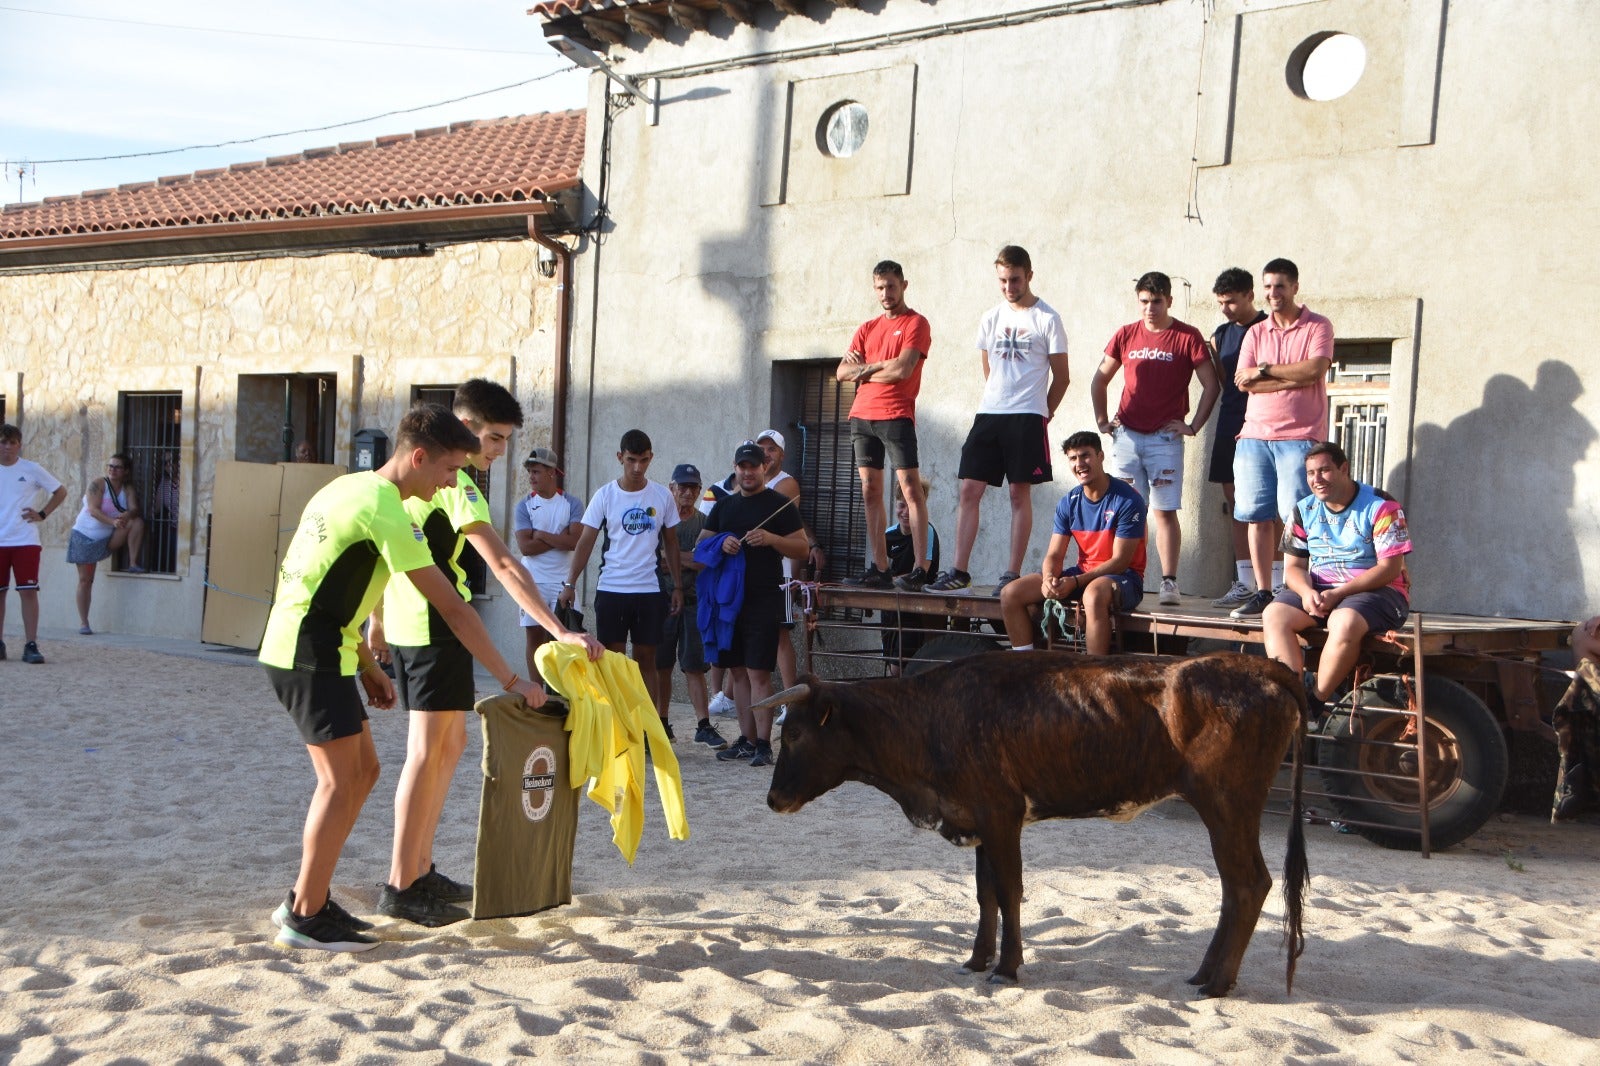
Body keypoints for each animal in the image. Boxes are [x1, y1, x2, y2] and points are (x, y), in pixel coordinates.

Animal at [764, 646, 1312, 998]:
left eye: (794, 734)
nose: (772, 799)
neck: (931, 717)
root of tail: (1261, 666)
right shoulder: (979, 820)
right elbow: (985, 893)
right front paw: (977, 960)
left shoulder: (1002, 816)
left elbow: (1009, 892)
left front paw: (1007, 968)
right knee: (1235, 888)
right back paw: (1204, 974)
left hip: (1227, 805)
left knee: (1247, 884)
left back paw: (1217, 983)